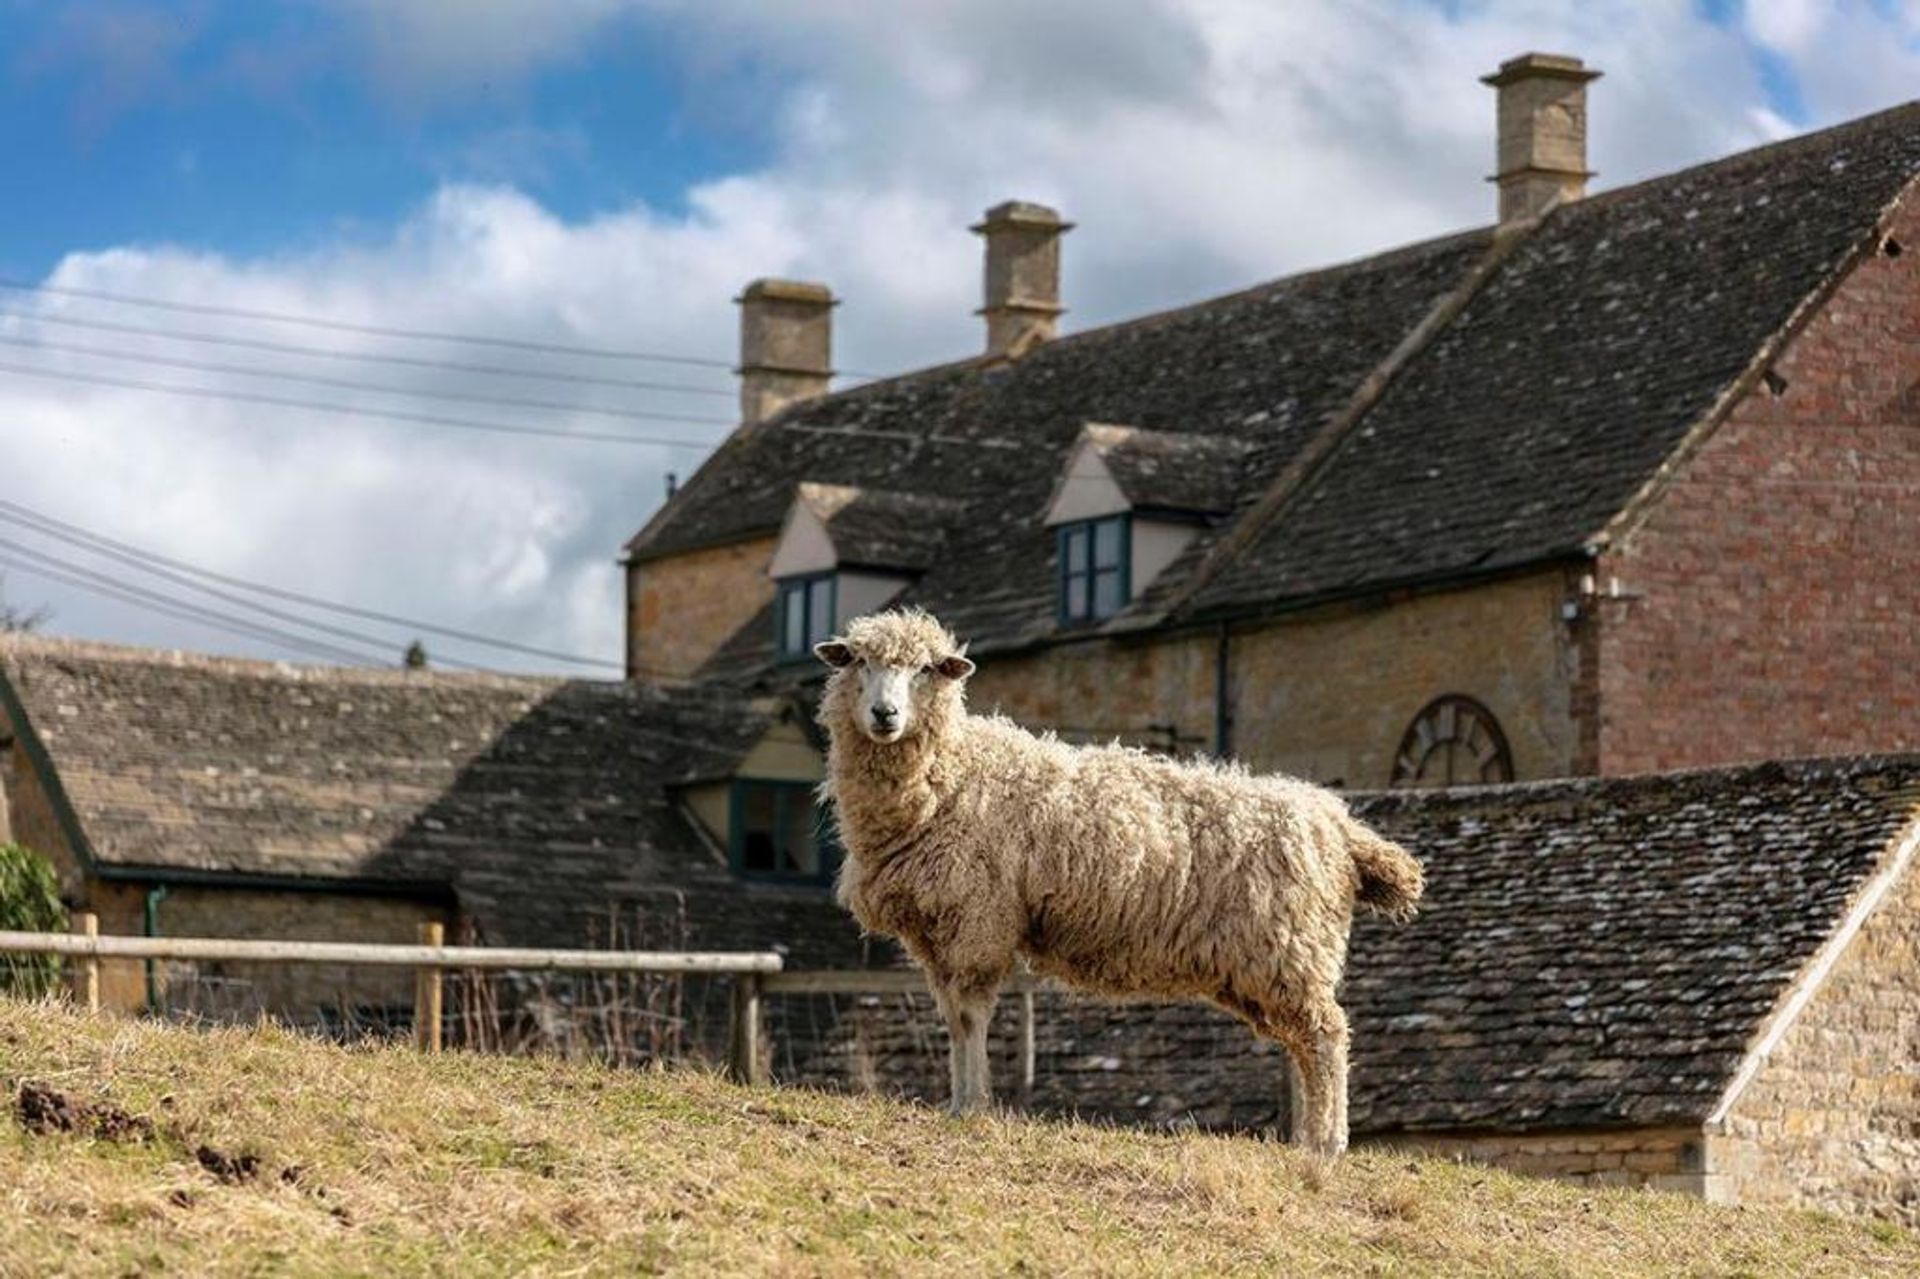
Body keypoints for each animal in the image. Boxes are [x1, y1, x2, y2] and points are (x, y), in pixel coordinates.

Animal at [810, 603, 1428, 1152]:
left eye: (925, 669)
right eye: (859, 661)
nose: (885, 715)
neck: (951, 774)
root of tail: (1339, 826)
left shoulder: (979, 920)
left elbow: (970, 1015)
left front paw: (974, 1106)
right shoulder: (938, 931)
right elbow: (954, 1020)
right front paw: (959, 1101)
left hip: (1292, 951)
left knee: (1327, 1036)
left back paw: (1328, 1142)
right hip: (1268, 967)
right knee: (1304, 1043)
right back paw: (1304, 1137)